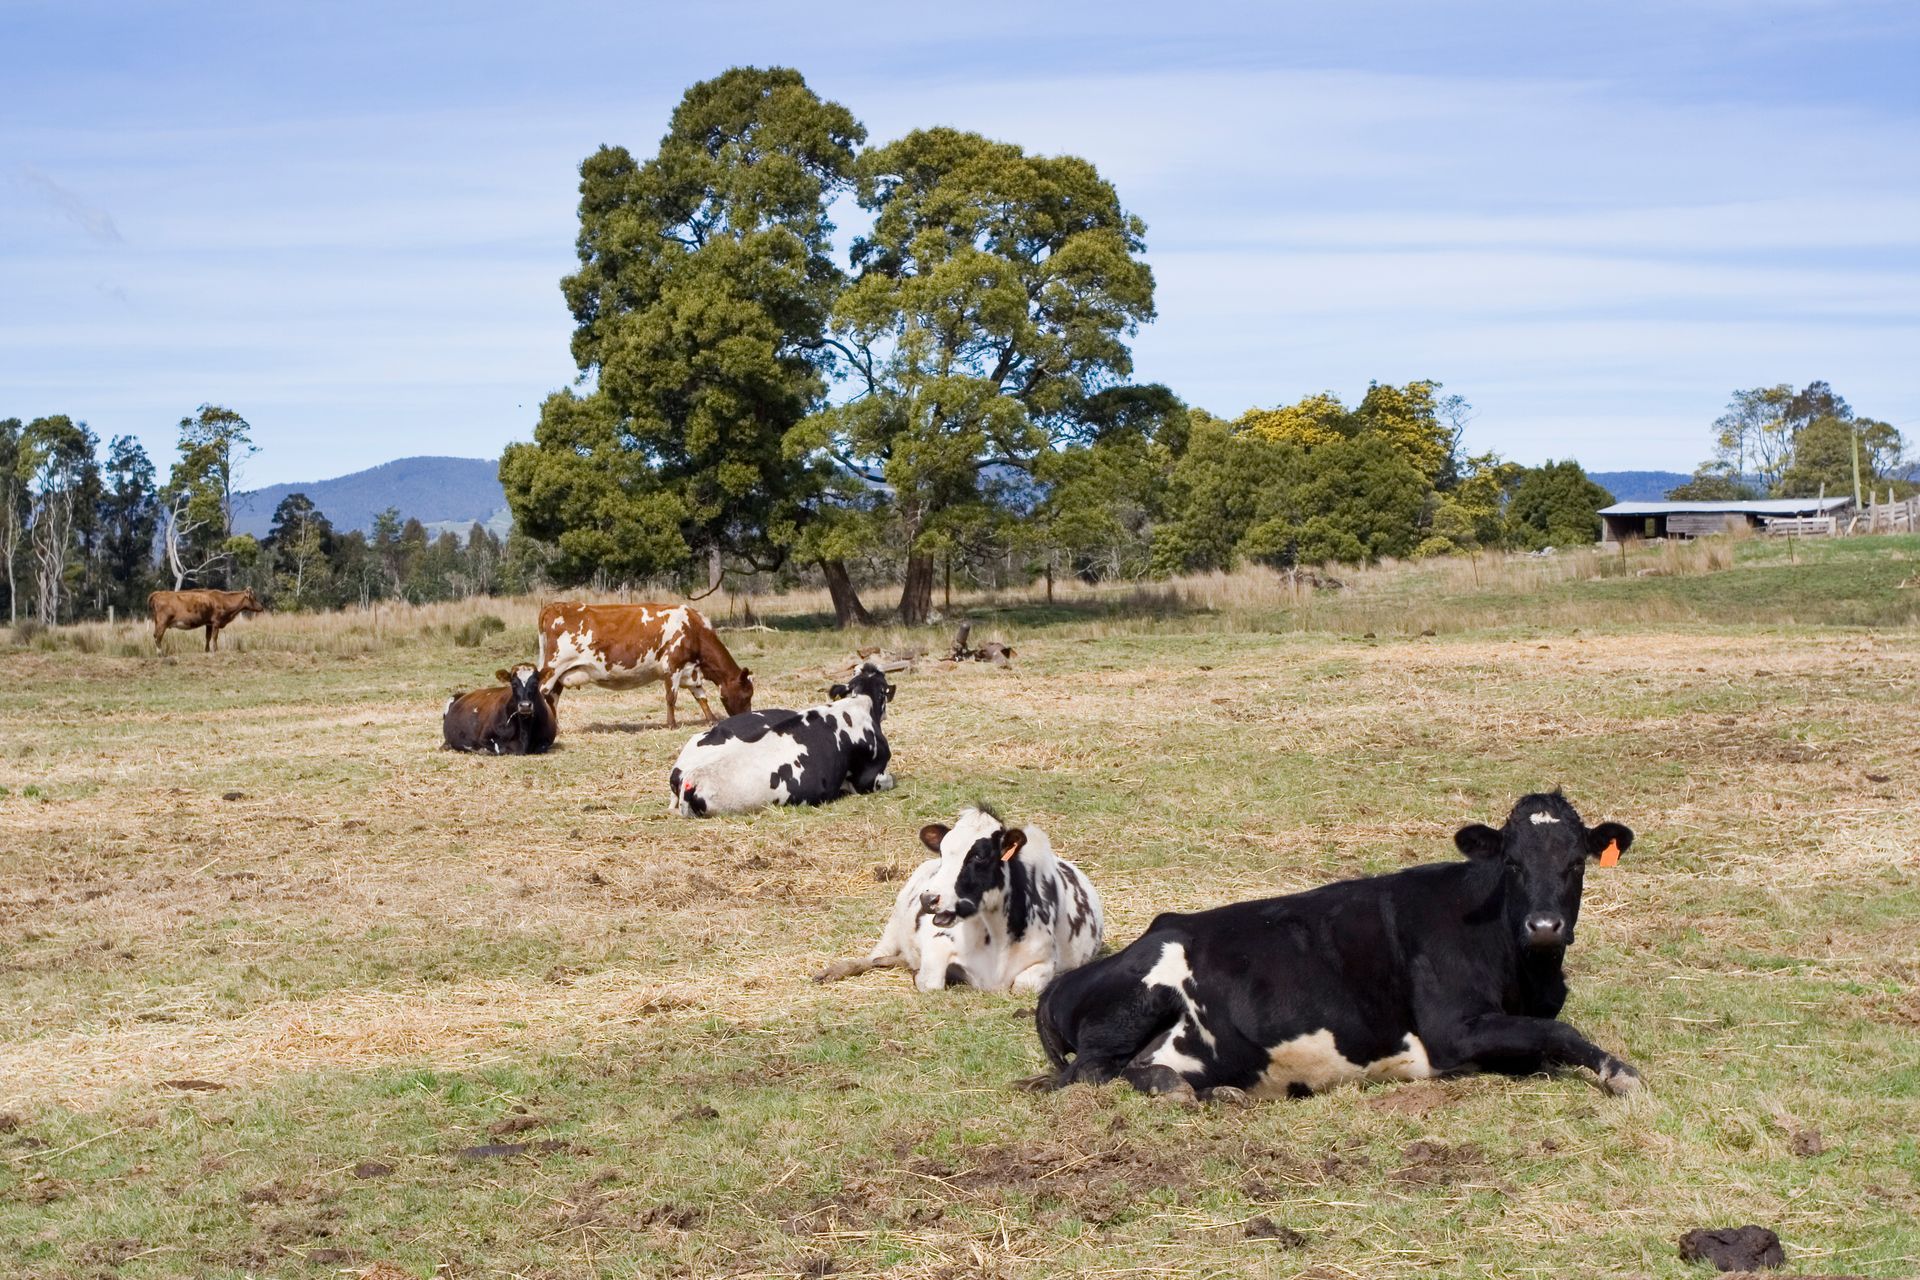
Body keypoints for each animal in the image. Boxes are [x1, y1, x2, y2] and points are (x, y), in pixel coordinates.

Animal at [537, 602, 751, 729]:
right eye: (747, 695)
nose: (747, 719)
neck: (694, 629)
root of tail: (556, 605)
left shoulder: (691, 671)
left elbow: (701, 697)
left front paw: (712, 719)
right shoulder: (673, 666)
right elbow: (671, 697)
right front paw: (672, 724)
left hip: (560, 672)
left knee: (553, 697)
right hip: (553, 667)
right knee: (542, 692)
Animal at [816, 806, 1104, 993]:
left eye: (979, 856)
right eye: (942, 852)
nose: (928, 899)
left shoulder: (1045, 960)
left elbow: (1025, 987)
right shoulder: (937, 946)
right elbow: (931, 983)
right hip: (895, 922)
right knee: (874, 956)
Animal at [1034, 792, 1641, 1103]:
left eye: (1576, 862)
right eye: (1511, 862)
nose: (1544, 926)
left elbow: (1544, 1037)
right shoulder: (1452, 1029)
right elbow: (1560, 1033)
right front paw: (1620, 1071)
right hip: (1144, 995)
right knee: (1086, 1073)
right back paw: (1172, 1088)